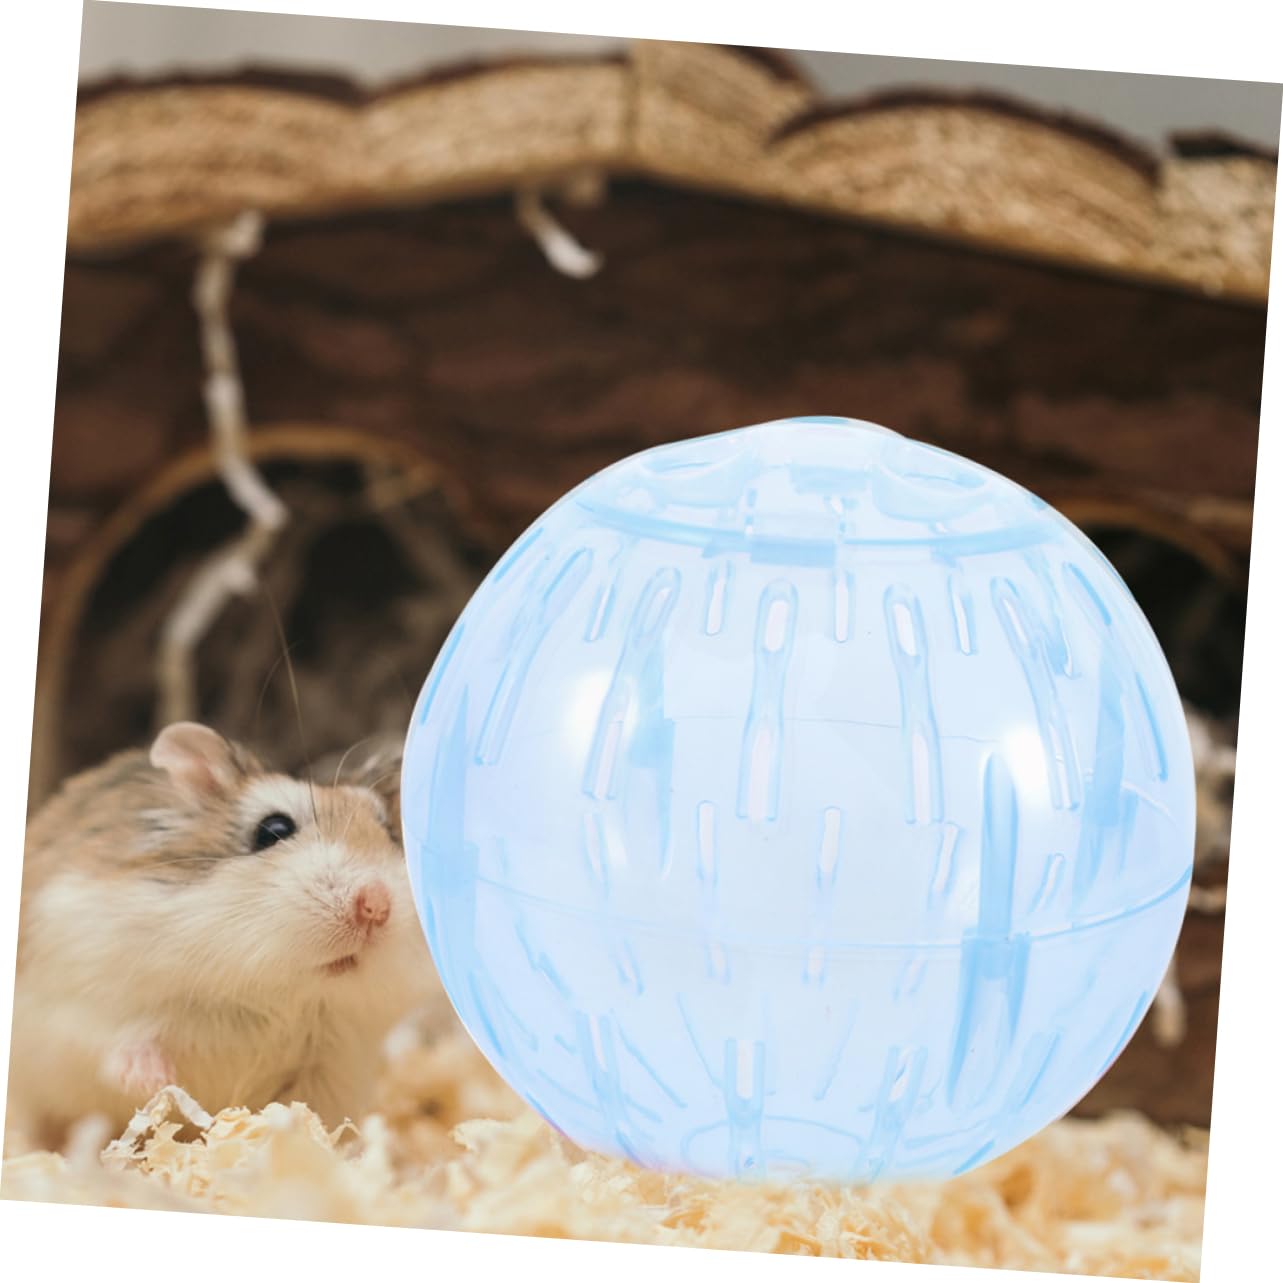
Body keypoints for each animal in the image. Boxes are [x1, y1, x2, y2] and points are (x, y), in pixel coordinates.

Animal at [7, 722, 438, 1152]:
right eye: (273, 829)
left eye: (389, 833)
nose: (376, 905)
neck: (277, 991)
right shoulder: (84, 999)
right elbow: (120, 1044)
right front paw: (158, 1083)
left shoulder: (331, 1068)